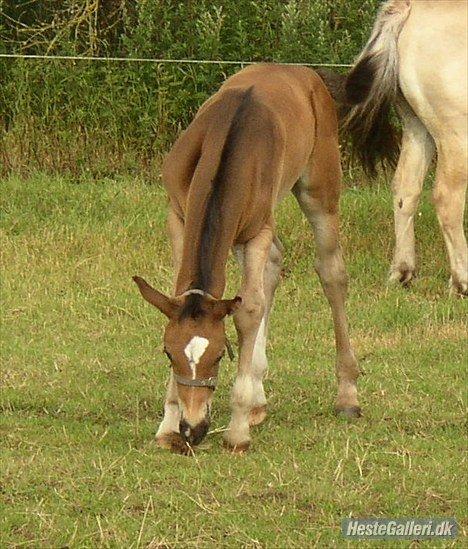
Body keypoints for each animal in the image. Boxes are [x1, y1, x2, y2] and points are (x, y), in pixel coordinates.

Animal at [133, 63, 360, 454]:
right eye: (168, 353)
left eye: (219, 355)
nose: (193, 429)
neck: (226, 145)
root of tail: (300, 71)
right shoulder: (177, 216)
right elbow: (184, 293)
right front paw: (168, 426)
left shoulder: (258, 230)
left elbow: (249, 309)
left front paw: (237, 430)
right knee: (274, 266)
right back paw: (258, 398)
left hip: (320, 189)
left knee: (331, 274)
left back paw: (347, 395)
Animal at [342, 0, 466, 296]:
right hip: (455, 136)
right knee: (448, 199)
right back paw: (461, 281)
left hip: (417, 129)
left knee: (405, 189)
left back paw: (403, 271)